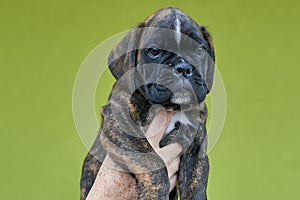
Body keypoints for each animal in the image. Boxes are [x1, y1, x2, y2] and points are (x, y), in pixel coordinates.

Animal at [80, 7, 216, 199]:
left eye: (199, 49)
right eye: (154, 51)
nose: (183, 68)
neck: (169, 107)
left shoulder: (196, 142)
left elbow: (196, 182)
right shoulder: (119, 124)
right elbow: (152, 160)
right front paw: (155, 194)